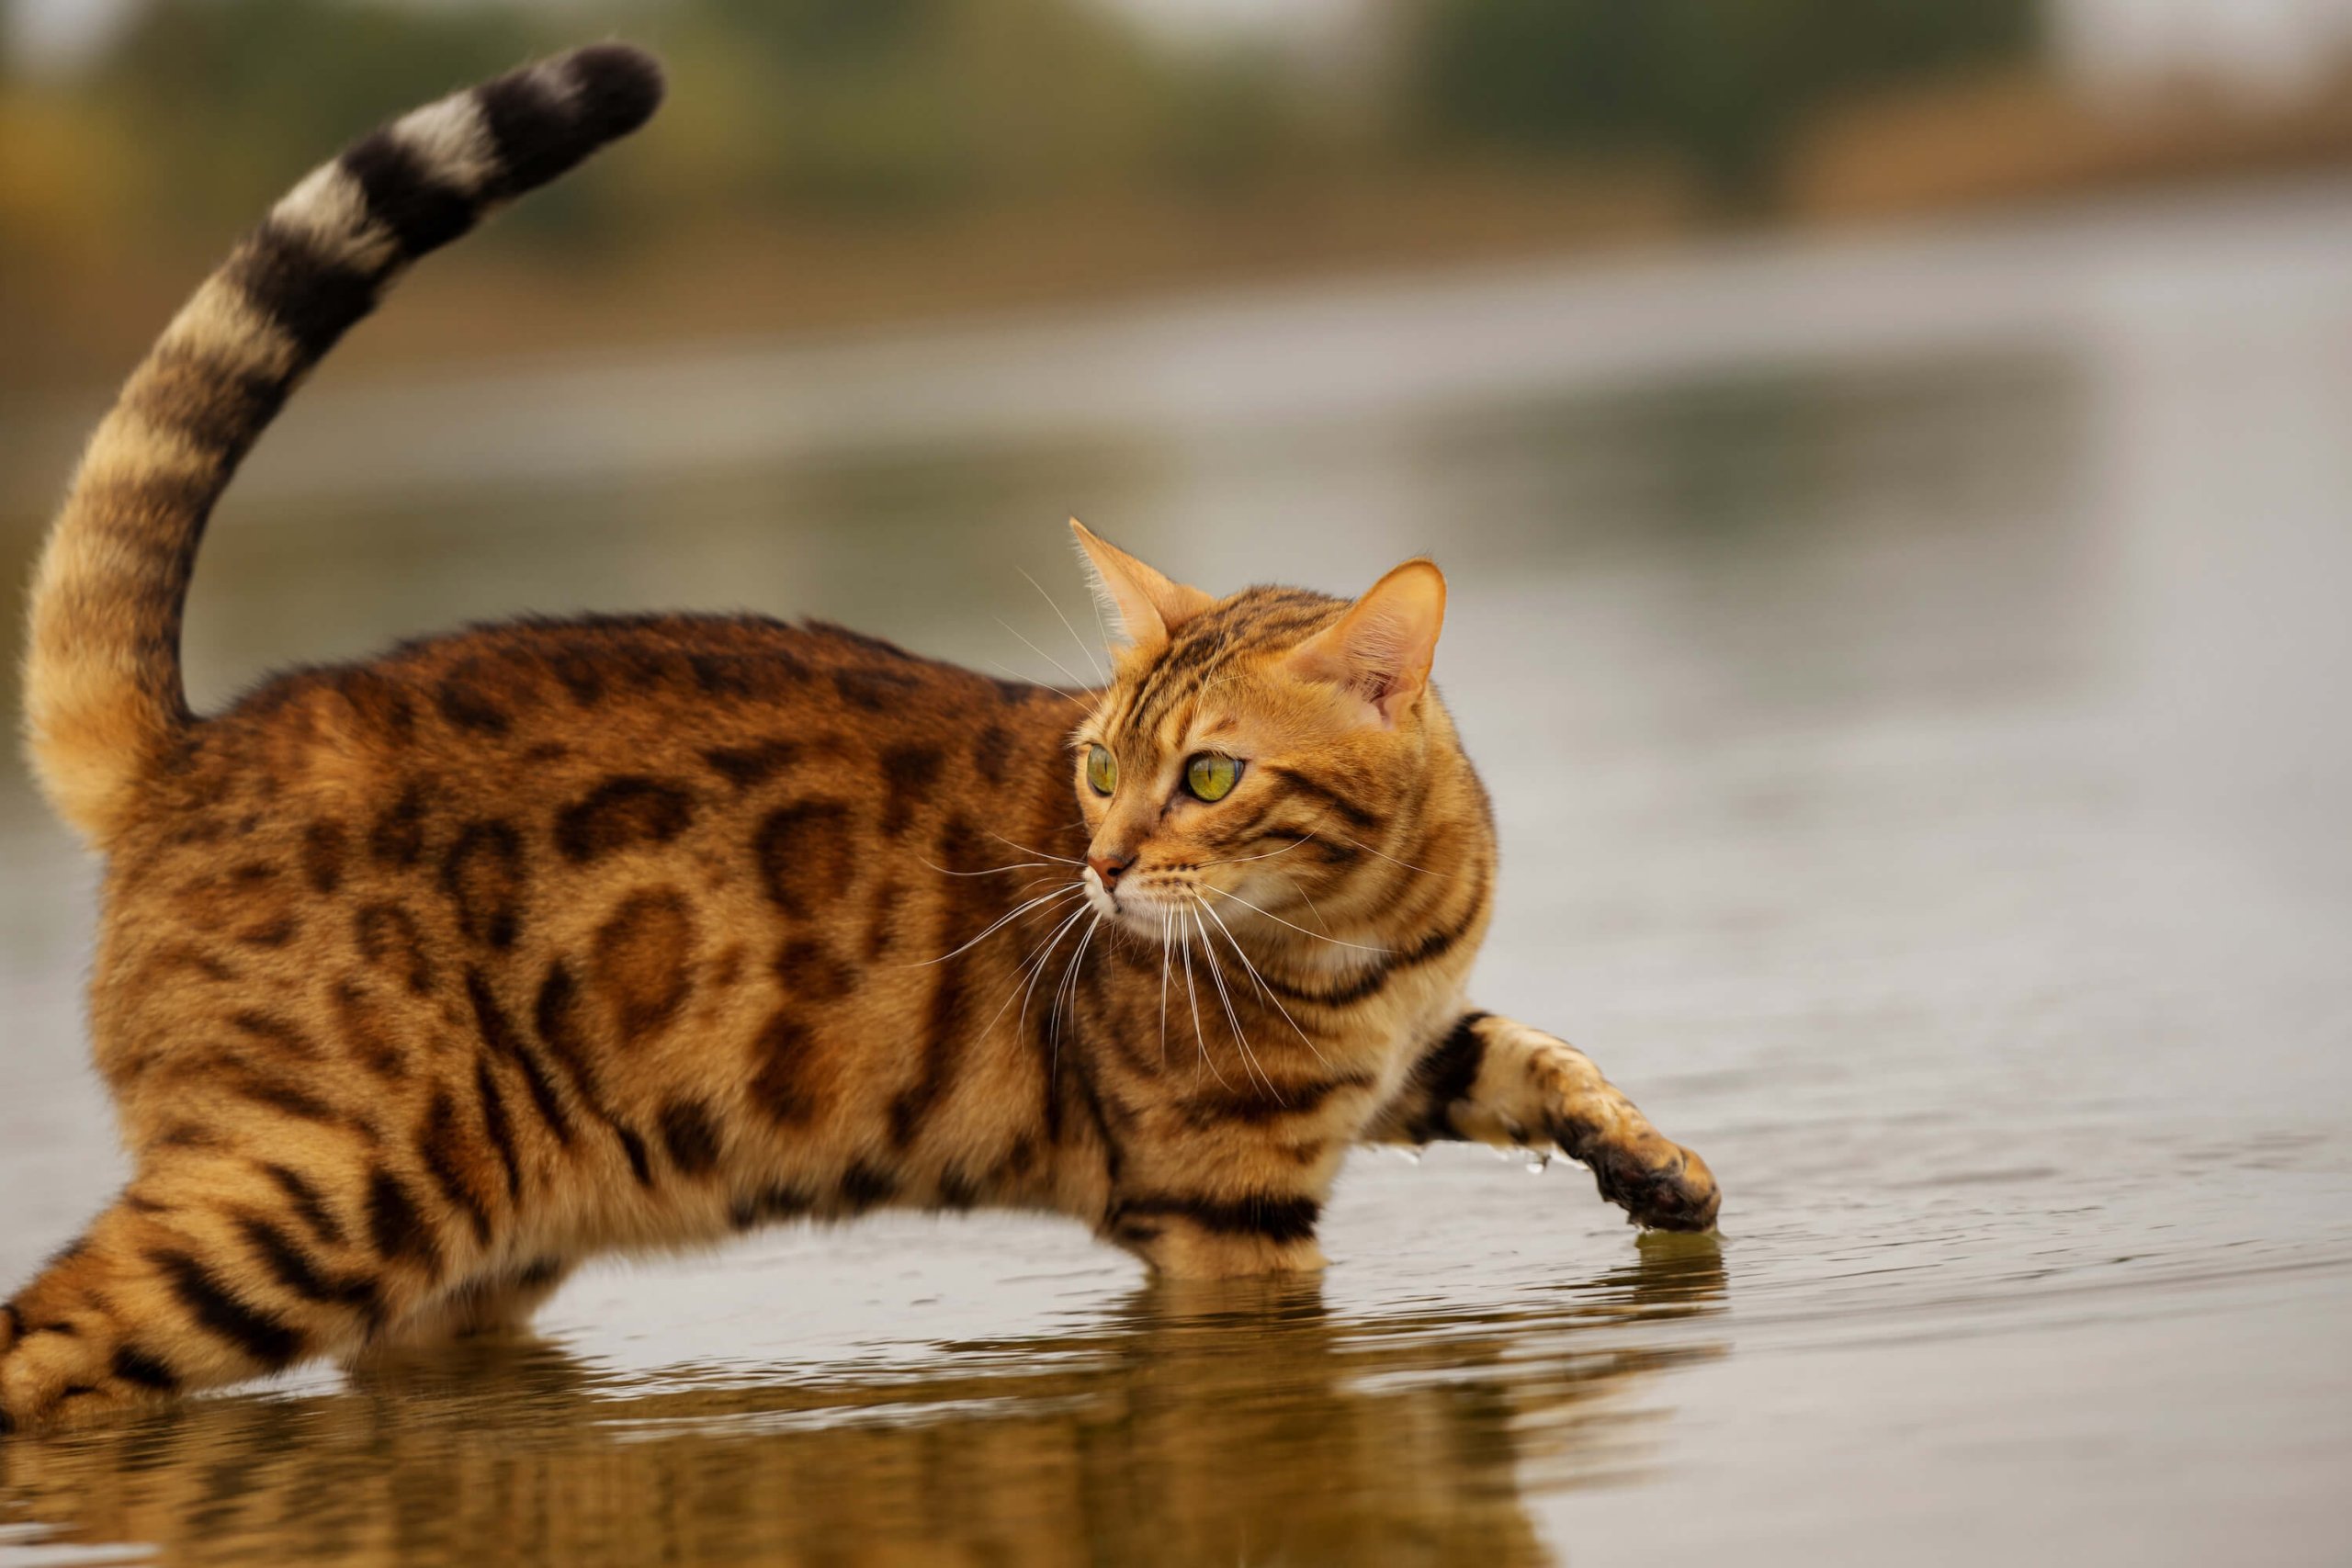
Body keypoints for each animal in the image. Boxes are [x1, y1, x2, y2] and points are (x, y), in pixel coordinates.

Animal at [5, 42, 1731, 1429]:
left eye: (1206, 773)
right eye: (1105, 765)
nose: (1103, 869)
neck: (1370, 919)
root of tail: (192, 746)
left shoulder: (1401, 1050)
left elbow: (1527, 1049)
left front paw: (1650, 1162)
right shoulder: (1218, 1203)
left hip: (468, 1247)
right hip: (319, 1190)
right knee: (43, 1337)